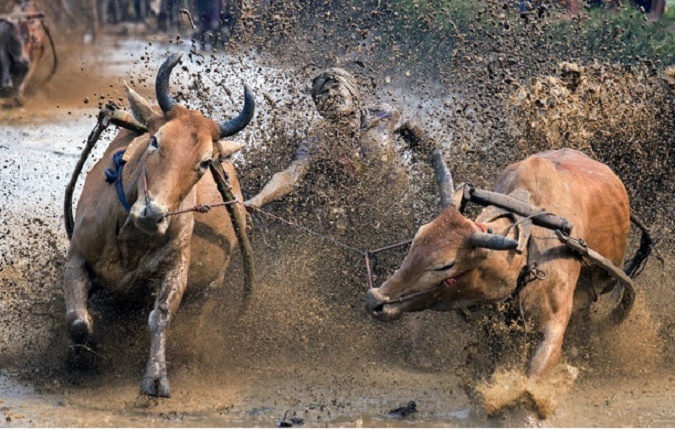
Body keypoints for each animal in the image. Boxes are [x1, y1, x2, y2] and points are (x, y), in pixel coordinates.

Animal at [64, 53, 255, 396]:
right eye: (155, 141)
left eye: (205, 162)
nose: (152, 214)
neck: (129, 236)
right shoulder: (76, 259)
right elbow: (78, 321)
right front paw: (81, 358)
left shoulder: (175, 271)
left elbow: (160, 317)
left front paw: (156, 377)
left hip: (212, 286)